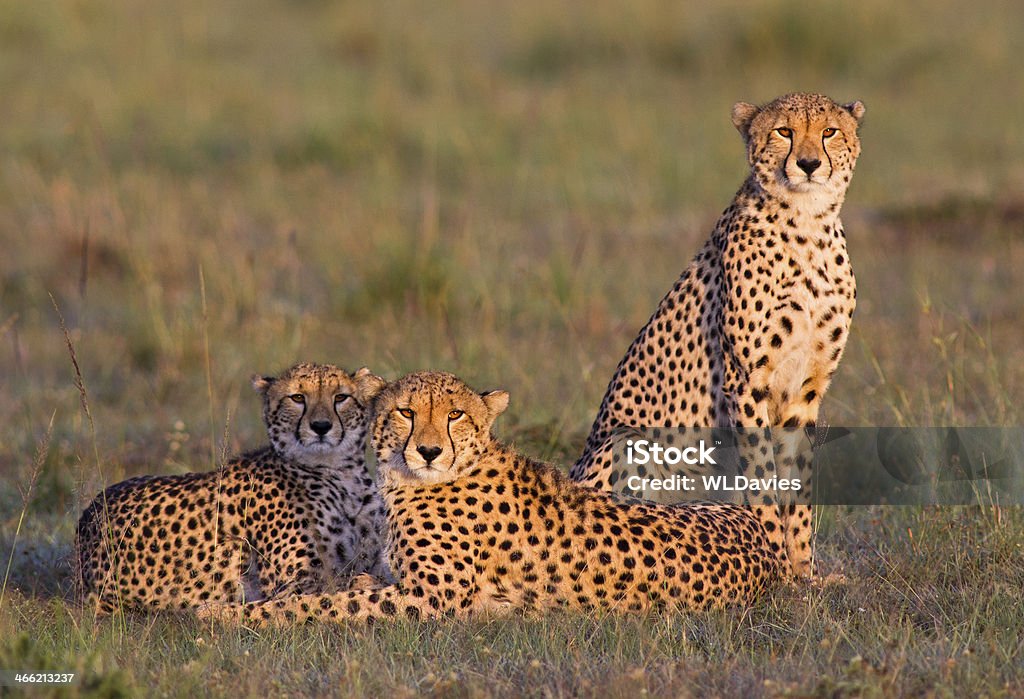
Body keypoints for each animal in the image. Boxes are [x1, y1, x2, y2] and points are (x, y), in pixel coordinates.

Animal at [74, 364, 387, 614]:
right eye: (298, 398)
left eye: (340, 397)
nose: (321, 426)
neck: (341, 475)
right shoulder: (291, 584)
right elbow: (341, 582)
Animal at [197, 372, 774, 630]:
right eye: (406, 412)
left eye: (455, 414)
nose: (429, 450)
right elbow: (348, 588)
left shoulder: (432, 599)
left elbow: (322, 605)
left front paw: (225, 615)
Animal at [569, 91, 864, 581]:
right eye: (784, 131)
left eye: (829, 132)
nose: (807, 164)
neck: (808, 225)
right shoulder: (746, 381)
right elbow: (762, 477)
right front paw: (775, 564)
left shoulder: (805, 390)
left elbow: (796, 483)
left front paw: (804, 572)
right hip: (630, 442)